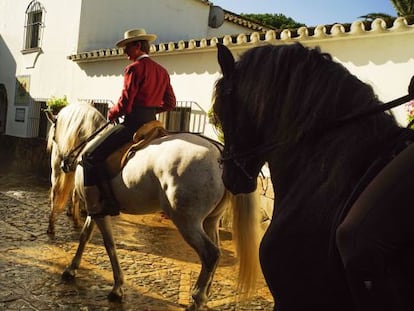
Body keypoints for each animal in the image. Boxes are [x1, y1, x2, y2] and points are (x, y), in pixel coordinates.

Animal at [47, 102, 260, 310]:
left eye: (54, 133)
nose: (61, 163)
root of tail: (219, 152)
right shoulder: (95, 209)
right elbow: (85, 236)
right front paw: (72, 269)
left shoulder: (97, 209)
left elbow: (109, 244)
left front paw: (117, 288)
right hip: (210, 220)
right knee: (216, 252)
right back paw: (206, 295)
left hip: (187, 222)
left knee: (211, 254)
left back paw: (197, 298)